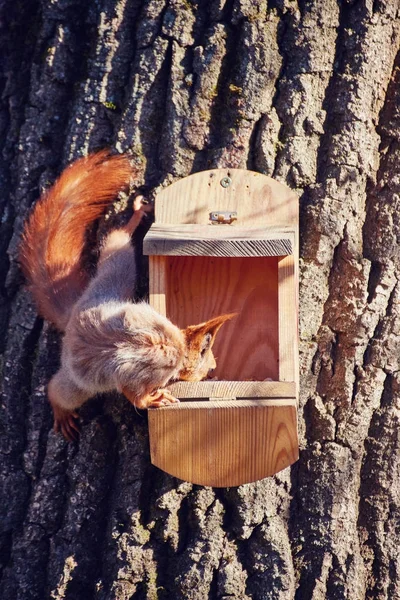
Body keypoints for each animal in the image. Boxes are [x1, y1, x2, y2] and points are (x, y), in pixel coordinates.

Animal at [18, 150, 234, 440]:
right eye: (207, 359)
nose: (212, 373)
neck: (177, 341)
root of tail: (74, 314)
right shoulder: (149, 368)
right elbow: (134, 395)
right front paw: (155, 399)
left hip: (112, 277)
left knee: (117, 242)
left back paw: (136, 216)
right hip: (79, 381)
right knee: (59, 390)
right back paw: (61, 410)